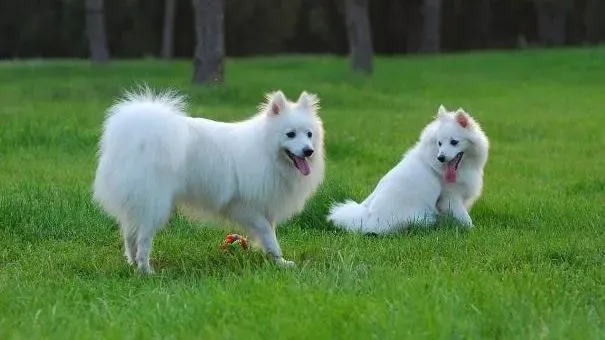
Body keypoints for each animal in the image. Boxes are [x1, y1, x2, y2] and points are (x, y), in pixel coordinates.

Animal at [92, 87, 324, 274]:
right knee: (143, 238)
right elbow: (268, 234)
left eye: (309, 134)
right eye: (290, 134)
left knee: (130, 234)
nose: (308, 151)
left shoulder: (265, 205)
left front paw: (278, 262)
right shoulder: (245, 207)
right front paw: (280, 260)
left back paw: (132, 263)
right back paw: (146, 269)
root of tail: (138, 135)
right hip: (155, 203)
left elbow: (270, 235)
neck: (266, 151)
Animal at [328, 105, 488, 234]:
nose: (441, 157)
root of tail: (367, 216)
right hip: (421, 215)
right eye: (439, 143)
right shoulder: (450, 198)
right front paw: (473, 231)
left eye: (454, 142)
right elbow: (465, 218)